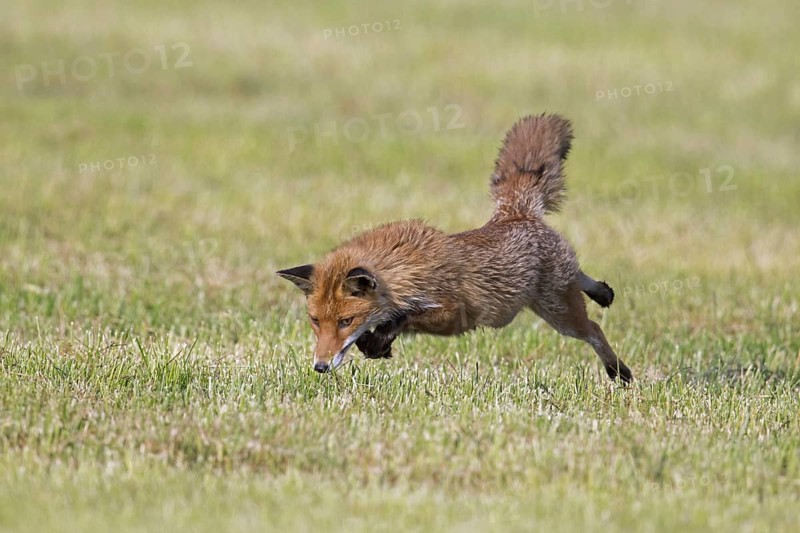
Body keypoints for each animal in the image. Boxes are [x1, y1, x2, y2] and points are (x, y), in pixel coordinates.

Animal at [278, 114, 633, 382]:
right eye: (315, 321)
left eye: (345, 322)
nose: (319, 367)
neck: (406, 271)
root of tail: (515, 213)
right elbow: (391, 325)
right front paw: (376, 344)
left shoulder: (457, 314)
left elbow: (403, 318)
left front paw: (378, 341)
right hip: (551, 300)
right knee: (581, 278)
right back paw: (603, 292)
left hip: (559, 312)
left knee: (594, 328)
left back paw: (619, 371)